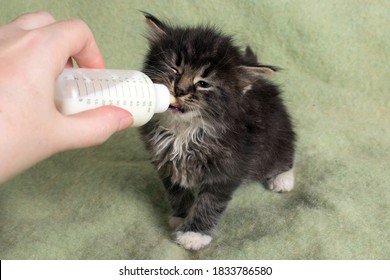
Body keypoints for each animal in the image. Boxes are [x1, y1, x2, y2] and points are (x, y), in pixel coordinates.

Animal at [139, 12, 294, 250]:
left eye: (203, 83)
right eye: (174, 69)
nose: (180, 90)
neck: (185, 131)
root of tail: (262, 83)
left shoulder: (228, 167)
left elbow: (208, 203)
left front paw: (193, 233)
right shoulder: (165, 161)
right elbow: (177, 192)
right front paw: (181, 217)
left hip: (276, 136)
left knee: (283, 154)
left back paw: (283, 178)